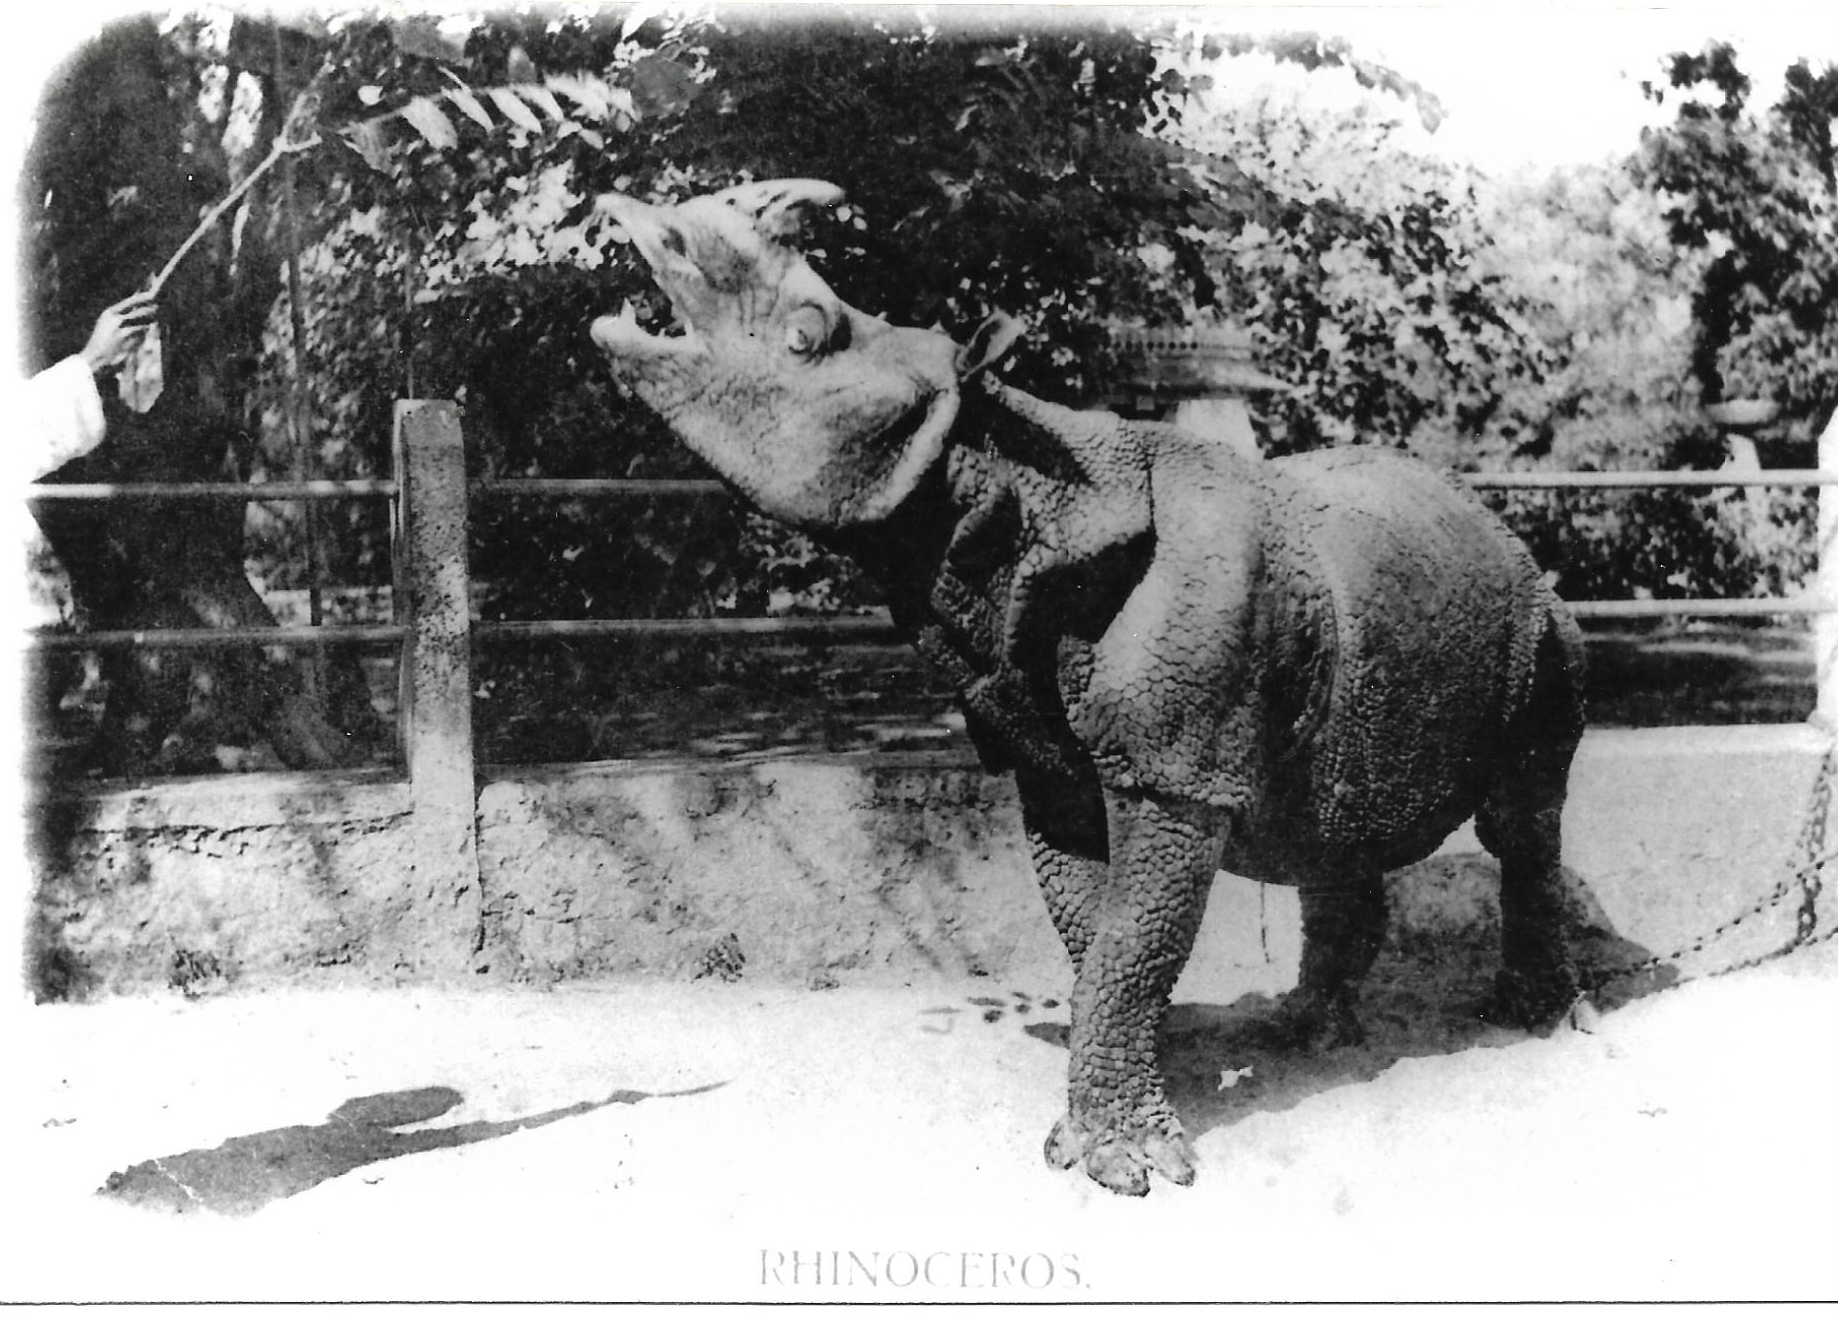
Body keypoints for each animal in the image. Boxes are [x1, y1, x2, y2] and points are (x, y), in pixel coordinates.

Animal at [590, 179, 1587, 1196]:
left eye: (807, 332)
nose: (642, 222)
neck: (1004, 482)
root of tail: (1494, 521)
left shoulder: (1175, 769)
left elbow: (1132, 935)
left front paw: (1125, 1164)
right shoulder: (1045, 754)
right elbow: (1097, 926)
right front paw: (1140, 1091)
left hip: (1542, 617)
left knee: (1522, 815)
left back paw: (1537, 1021)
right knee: (1333, 822)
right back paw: (1311, 1034)